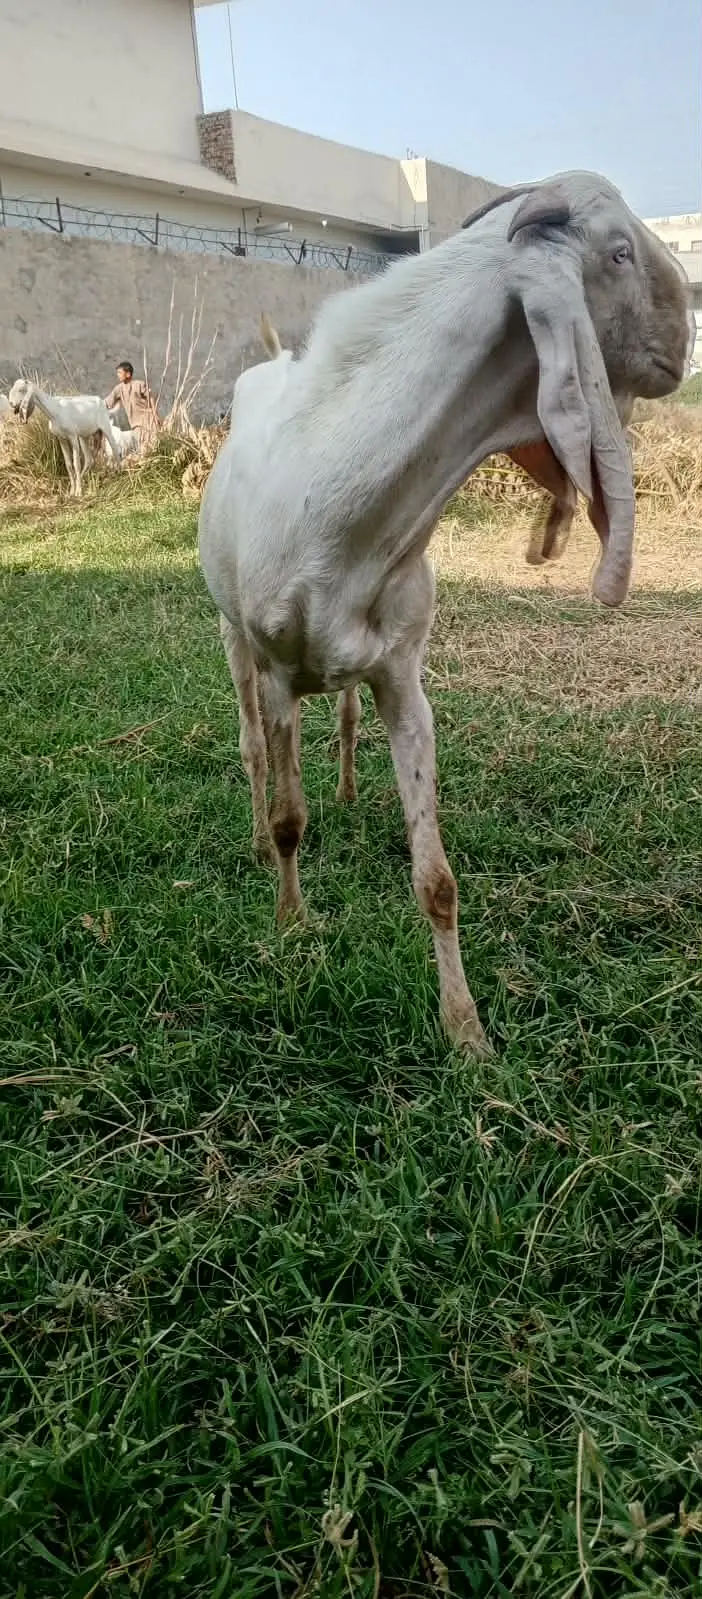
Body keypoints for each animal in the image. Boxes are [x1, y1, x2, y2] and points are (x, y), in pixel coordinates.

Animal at [198, 171, 692, 1057]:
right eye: (618, 252)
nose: (685, 336)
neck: (345, 504)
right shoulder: (281, 667)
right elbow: (291, 816)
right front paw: (292, 922)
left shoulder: (404, 678)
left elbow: (437, 877)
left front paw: (466, 1031)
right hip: (232, 636)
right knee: (254, 747)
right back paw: (256, 838)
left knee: (342, 717)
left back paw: (349, 790)